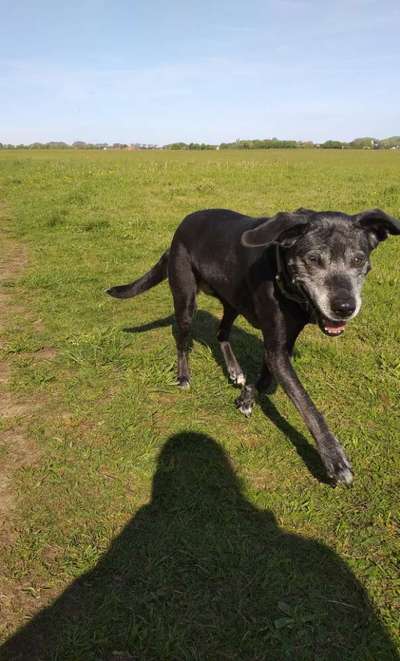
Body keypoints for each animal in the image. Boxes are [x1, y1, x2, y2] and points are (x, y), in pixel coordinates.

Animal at [107, 208, 400, 484]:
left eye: (358, 259)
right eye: (313, 259)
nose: (345, 307)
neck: (280, 272)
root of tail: (182, 226)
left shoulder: (281, 346)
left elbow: (265, 379)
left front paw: (246, 397)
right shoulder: (277, 348)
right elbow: (307, 405)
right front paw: (334, 459)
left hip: (232, 301)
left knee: (221, 333)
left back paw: (234, 370)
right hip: (185, 300)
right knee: (183, 341)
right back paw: (183, 376)